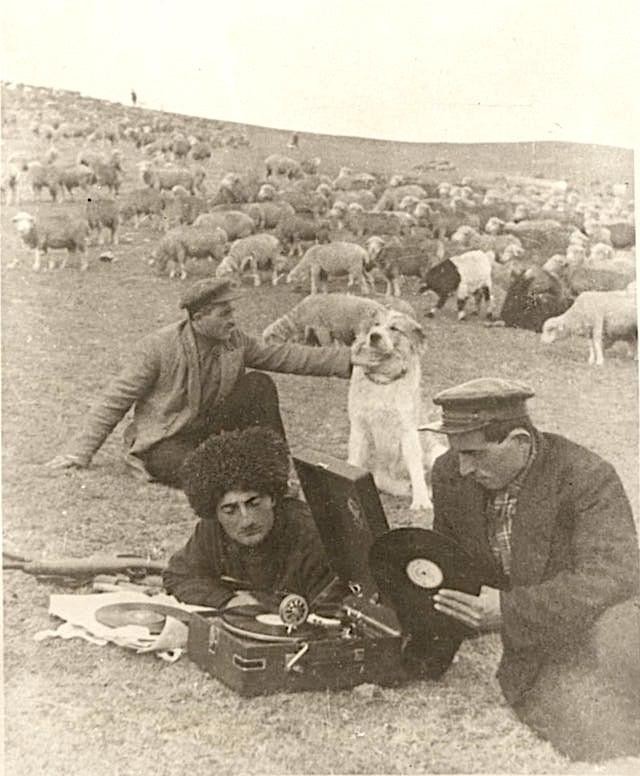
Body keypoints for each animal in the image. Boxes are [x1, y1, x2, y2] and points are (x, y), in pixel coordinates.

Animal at [348, 306, 448, 512]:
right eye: (376, 325)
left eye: (394, 328)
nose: (374, 336)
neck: (383, 380)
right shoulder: (359, 427)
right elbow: (354, 461)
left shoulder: (407, 430)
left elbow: (416, 467)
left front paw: (421, 501)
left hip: (436, 453)